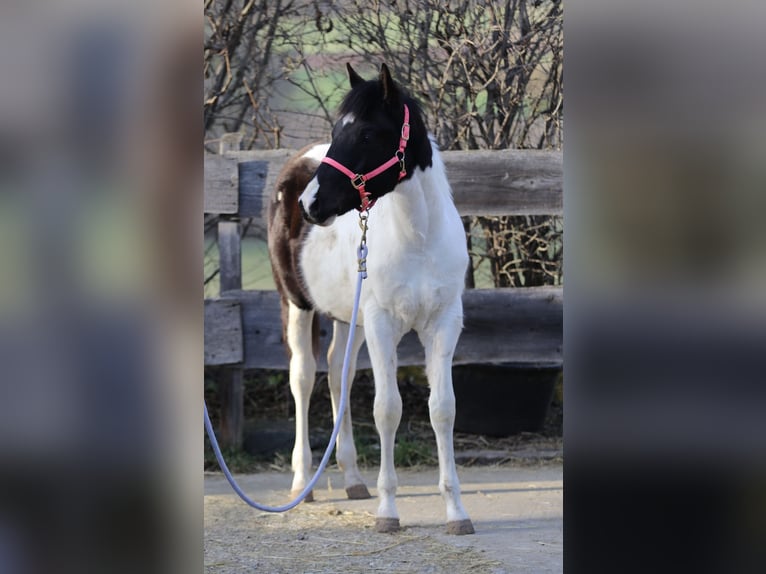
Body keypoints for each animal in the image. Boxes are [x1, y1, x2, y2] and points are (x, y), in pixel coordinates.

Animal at [267, 63, 474, 535]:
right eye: (336, 130)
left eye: (365, 133)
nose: (311, 204)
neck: (418, 239)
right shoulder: (382, 324)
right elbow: (387, 410)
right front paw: (388, 512)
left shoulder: (443, 324)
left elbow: (444, 409)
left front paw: (456, 513)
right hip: (297, 306)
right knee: (303, 378)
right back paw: (303, 481)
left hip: (350, 319)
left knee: (336, 376)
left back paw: (353, 480)